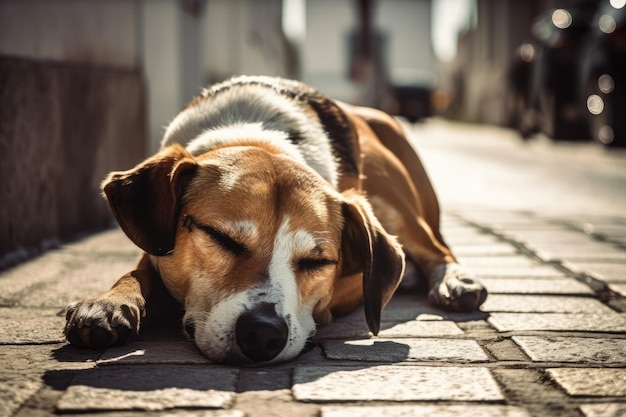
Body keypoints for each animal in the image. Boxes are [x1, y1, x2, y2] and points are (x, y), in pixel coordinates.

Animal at [64, 75, 482, 364]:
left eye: (317, 262)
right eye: (220, 238)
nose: (263, 334)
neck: (257, 136)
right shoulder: (156, 249)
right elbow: (137, 273)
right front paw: (109, 303)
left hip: (391, 198)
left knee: (435, 247)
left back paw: (455, 281)